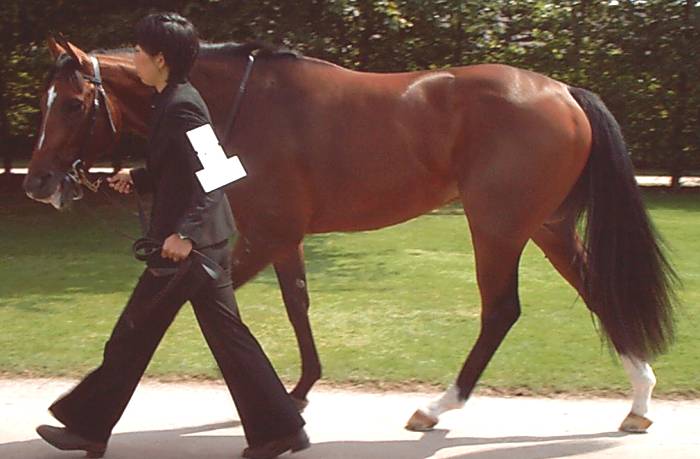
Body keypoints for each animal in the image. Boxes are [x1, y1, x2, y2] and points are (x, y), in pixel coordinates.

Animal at [23, 35, 676, 434]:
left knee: (501, 311)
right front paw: (299, 391)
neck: (240, 105)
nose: (38, 183)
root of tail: (564, 91)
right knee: (597, 288)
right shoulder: (283, 237)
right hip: (545, 225)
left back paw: (437, 406)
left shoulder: (263, 235)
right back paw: (640, 399)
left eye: (75, 103)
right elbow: (297, 304)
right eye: (47, 100)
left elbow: (182, 301)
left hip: (497, 227)